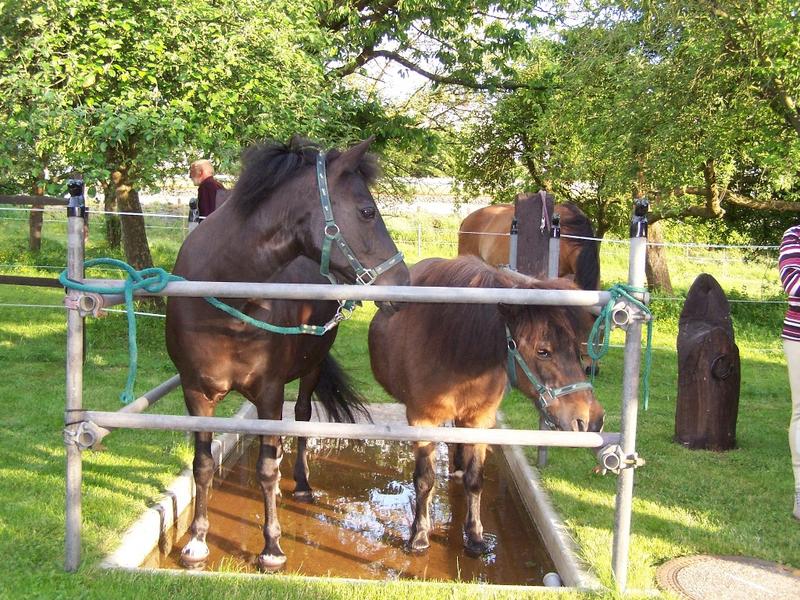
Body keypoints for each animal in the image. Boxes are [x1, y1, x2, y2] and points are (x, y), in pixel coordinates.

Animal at [165, 137, 410, 572]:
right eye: (367, 211)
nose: (405, 282)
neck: (224, 302)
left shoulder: (269, 391)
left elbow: (265, 469)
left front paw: (272, 547)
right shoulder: (196, 394)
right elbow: (203, 466)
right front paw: (196, 542)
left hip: (309, 371)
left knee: (300, 421)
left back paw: (302, 486)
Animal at [366, 255, 604, 556]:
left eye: (576, 349)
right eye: (543, 351)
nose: (592, 419)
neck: (456, 350)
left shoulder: (480, 420)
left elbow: (475, 478)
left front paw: (475, 534)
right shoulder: (422, 421)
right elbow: (424, 480)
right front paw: (419, 535)